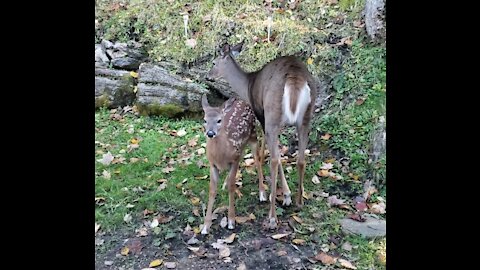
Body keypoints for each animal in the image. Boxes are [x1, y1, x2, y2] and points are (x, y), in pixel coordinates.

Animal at [200, 94, 266, 234]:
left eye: (219, 120)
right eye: (204, 120)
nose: (210, 133)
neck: (221, 156)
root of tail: (243, 101)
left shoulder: (233, 161)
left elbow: (232, 186)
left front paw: (231, 221)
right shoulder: (212, 164)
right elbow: (212, 190)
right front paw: (205, 226)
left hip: (253, 135)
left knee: (258, 161)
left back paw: (262, 193)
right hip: (242, 147)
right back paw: (224, 183)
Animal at [207, 43, 316, 229]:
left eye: (214, 62)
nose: (208, 76)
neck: (247, 86)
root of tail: (294, 78)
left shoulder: (261, 114)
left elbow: (264, 153)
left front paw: (277, 194)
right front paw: (286, 194)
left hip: (273, 113)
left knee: (274, 160)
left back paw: (272, 217)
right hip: (305, 119)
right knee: (301, 159)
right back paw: (299, 202)